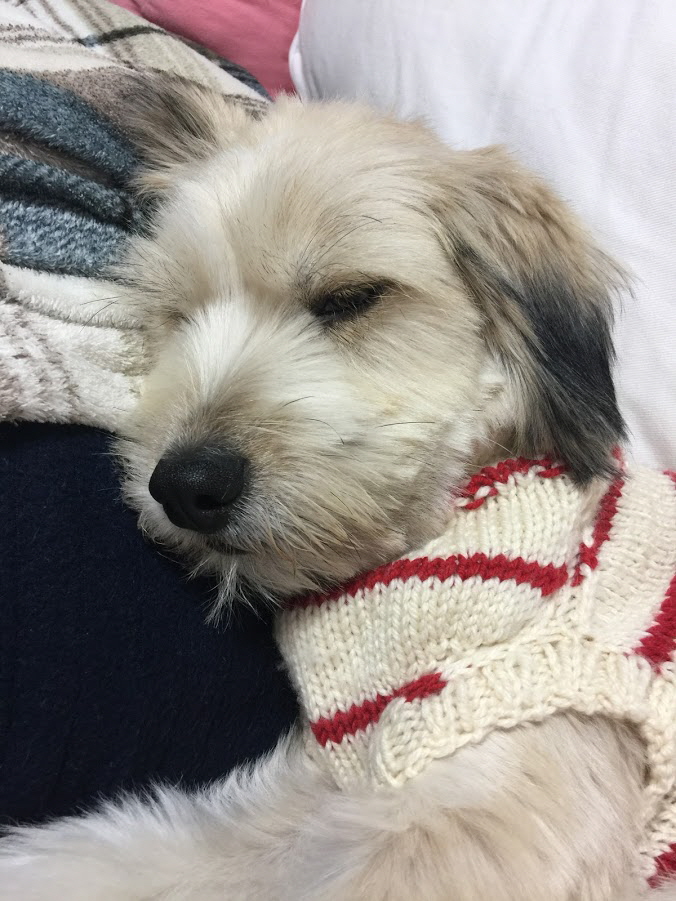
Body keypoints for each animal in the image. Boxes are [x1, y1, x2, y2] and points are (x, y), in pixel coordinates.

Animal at [1, 83, 676, 901]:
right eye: (179, 313)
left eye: (352, 297)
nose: (185, 485)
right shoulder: (328, 781)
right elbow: (153, 846)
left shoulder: (497, 802)